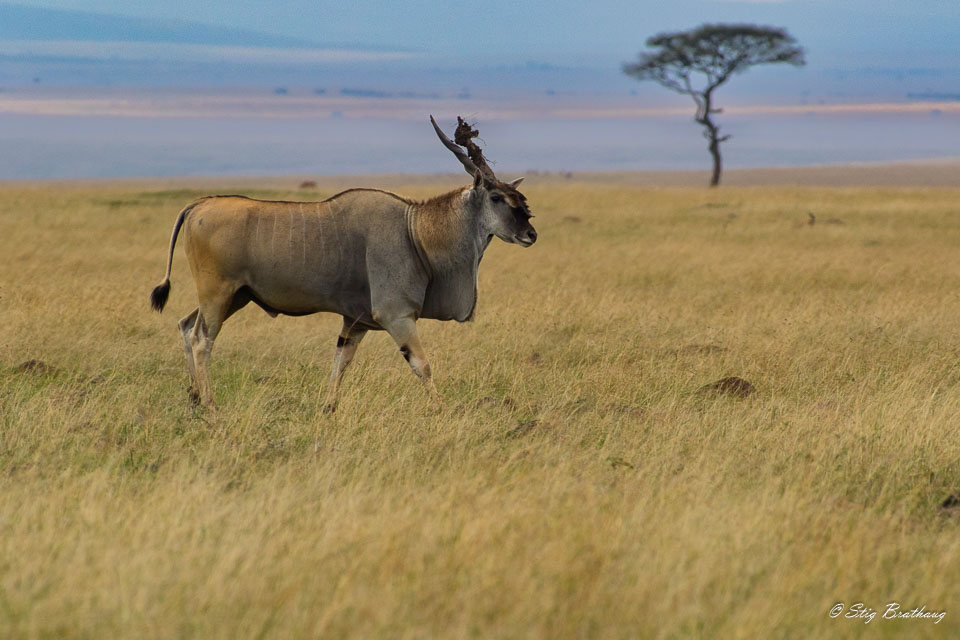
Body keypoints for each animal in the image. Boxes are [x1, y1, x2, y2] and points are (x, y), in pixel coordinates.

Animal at [154, 117, 536, 408]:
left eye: (520, 198)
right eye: (497, 197)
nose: (531, 234)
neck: (415, 231)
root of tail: (199, 205)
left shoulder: (355, 322)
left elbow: (341, 361)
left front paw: (328, 408)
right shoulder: (396, 317)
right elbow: (423, 366)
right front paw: (442, 409)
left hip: (236, 297)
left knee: (186, 326)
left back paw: (194, 399)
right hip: (218, 294)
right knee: (202, 340)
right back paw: (210, 405)